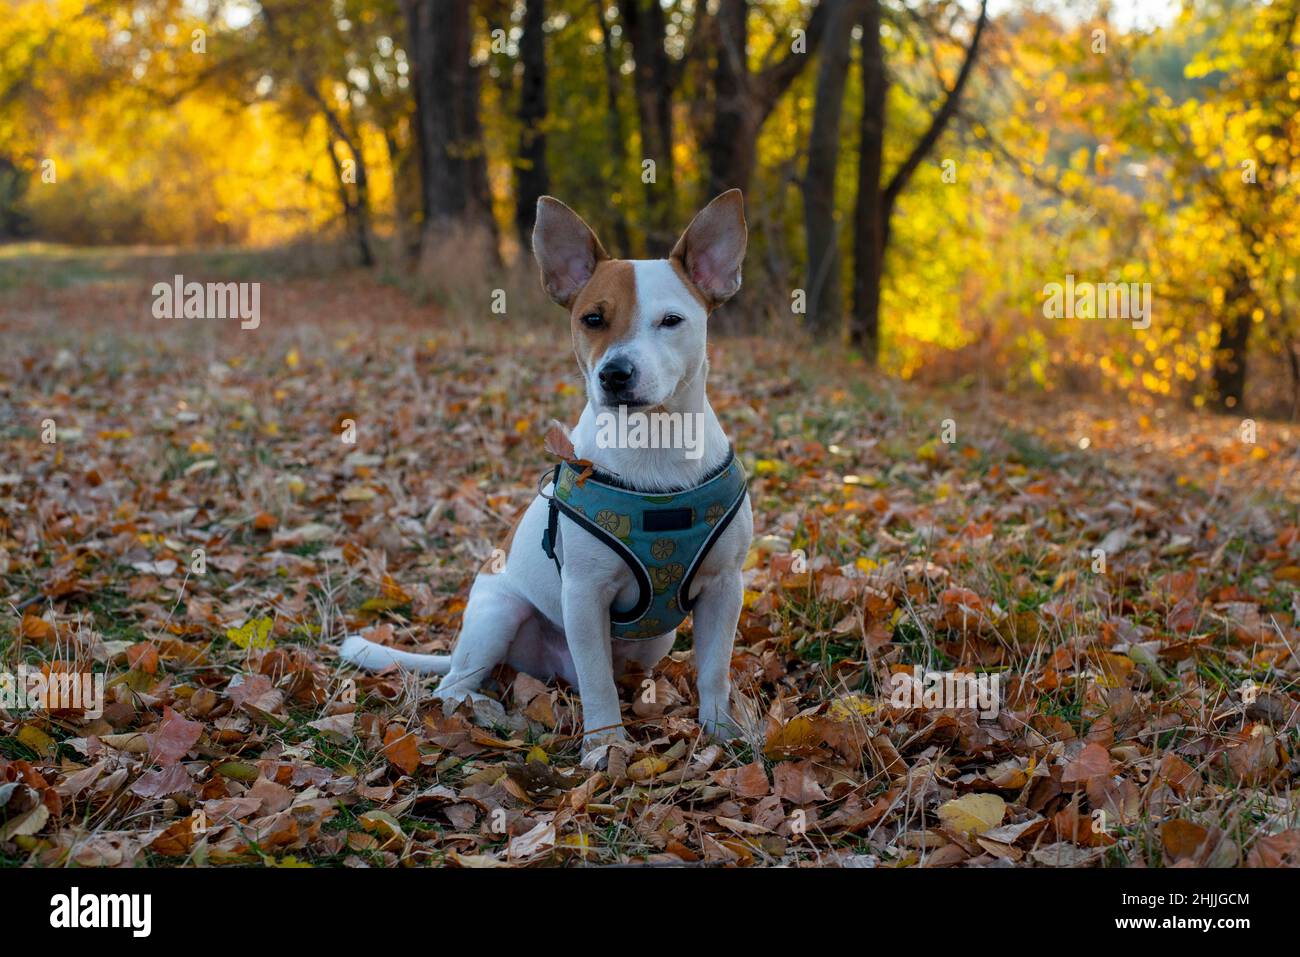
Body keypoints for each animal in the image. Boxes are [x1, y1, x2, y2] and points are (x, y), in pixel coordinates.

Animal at [340, 191, 754, 764]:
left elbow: (715, 668)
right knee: (456, 686)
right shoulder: (582, 595)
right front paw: (606, 748)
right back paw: (483, 708)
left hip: (655, 640)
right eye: (592, 318)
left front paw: (720, 732)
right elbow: (598, 685)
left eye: (671, 321)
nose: (614, 374)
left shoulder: (724, 587)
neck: (653, 445)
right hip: (501, 613)